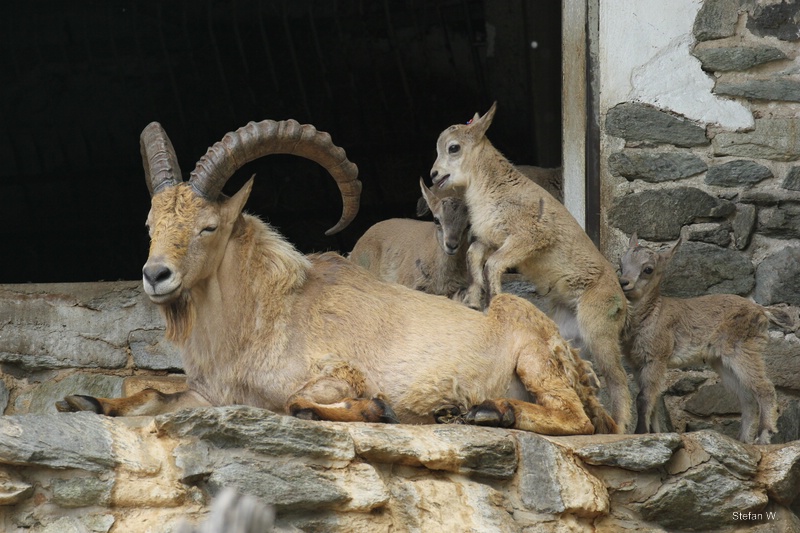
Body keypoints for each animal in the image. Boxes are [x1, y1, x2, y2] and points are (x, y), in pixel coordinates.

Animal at [56, 118, 617, 436]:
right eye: (151, 224)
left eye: (208, 226)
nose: (156, 275)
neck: (260, 318)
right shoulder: (210, 395)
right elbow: (152, 396)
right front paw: (84, 399)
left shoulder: (334, 373)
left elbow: (300, 401)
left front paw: (380, 409)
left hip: (534, 354)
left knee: (577, 418)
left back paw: (489, 411)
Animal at [429, 102, 631, 432]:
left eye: (454, 147)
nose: (435, 174)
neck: (492, 189)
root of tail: (623, 304)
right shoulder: (491, 240)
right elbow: (474, 256)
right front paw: (474, 298)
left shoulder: (529, 237)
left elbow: (493, 265)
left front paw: (493, 301)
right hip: (569, 329)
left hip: (599, 328)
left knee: (618, 379)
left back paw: (621, 426)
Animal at [619, 233, 781, 444]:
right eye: (621, 263)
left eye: (648, 269)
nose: (623, 282)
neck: (650, 315)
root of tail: (763, 312)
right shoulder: (638, 364)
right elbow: (652, 400)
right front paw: (654, 433)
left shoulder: (657, 357)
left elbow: (643, 398)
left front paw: (640, 433)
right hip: (722, 361)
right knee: (746, 398)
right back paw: (743, 440)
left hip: (743, 349)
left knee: (764, 387)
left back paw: (763, 437)